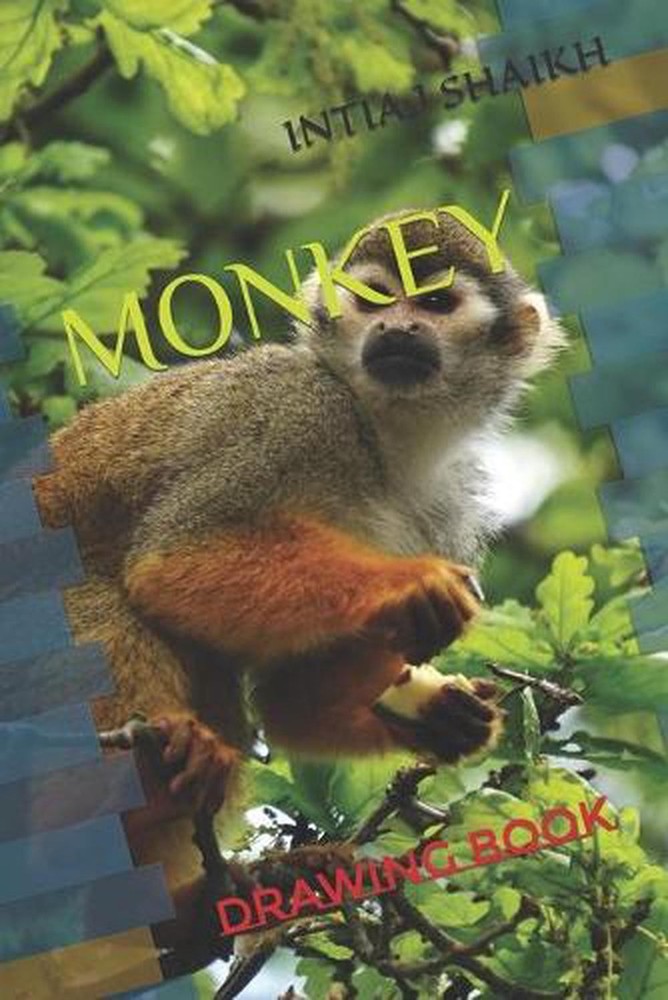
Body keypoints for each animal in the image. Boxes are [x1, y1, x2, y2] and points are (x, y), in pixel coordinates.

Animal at [33, 207, 563, 951]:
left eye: (435, 304)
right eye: (374, 298)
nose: (397, 329)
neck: (381, 434)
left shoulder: (450, 507)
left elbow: (291, 696)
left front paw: (438, 715)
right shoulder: (292, 413)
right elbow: (174, 560)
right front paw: (408, 586)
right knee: (105, 606)